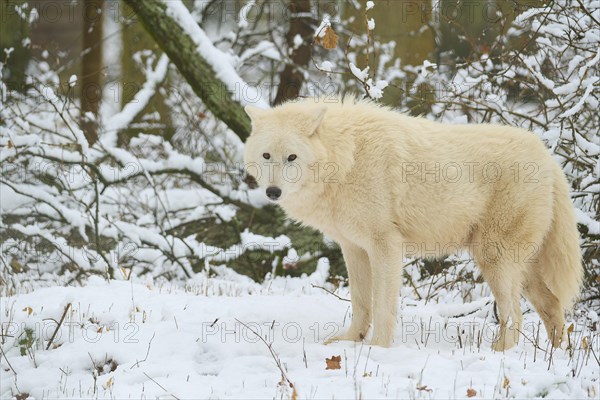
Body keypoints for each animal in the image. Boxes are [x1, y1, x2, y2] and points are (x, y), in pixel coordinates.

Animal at [243, 97, 580, 350]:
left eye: (292, 157)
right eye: (267, 155)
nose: (272, 192)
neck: (347, 157)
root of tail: (549, 159)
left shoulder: (386, 245)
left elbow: (382, 306)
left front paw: (377, 349)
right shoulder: (353, 247)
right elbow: (361, 302)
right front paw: (350, 341)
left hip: (494, 259)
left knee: (516, 316)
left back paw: (499, 353)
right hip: (520, 268)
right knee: (552, 305)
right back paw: (555, 356)